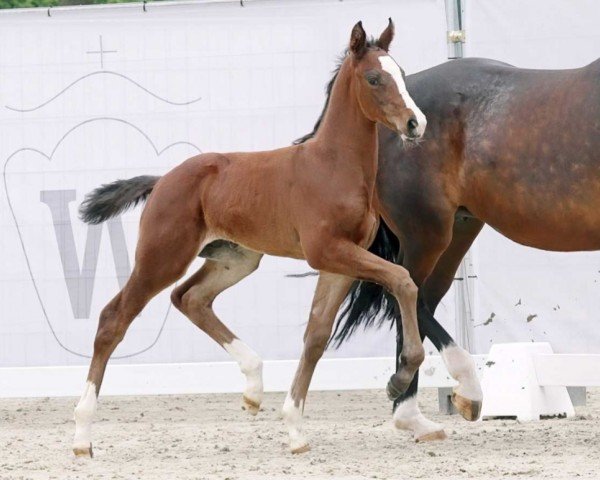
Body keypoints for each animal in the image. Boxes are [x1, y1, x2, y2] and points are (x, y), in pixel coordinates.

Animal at [72, 21, 426, 458]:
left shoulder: (341, 260)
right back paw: (82, 436)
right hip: (162, 259)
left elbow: (316, 336)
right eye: (374, 78)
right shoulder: (328, 251)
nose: (415, 124)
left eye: (403, 74)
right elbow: (403, 280)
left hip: (236, 259)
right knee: (114, 318)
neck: (332, 167)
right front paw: (399, 378)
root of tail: (162, 181)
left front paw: (294, 429)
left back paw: (254, 388)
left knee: (190, 298)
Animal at [304, 55, 600, 438]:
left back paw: (413, 414)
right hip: (425, 232)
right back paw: (454, 390)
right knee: (403, 293)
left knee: (417, 297)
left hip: (458, 230)